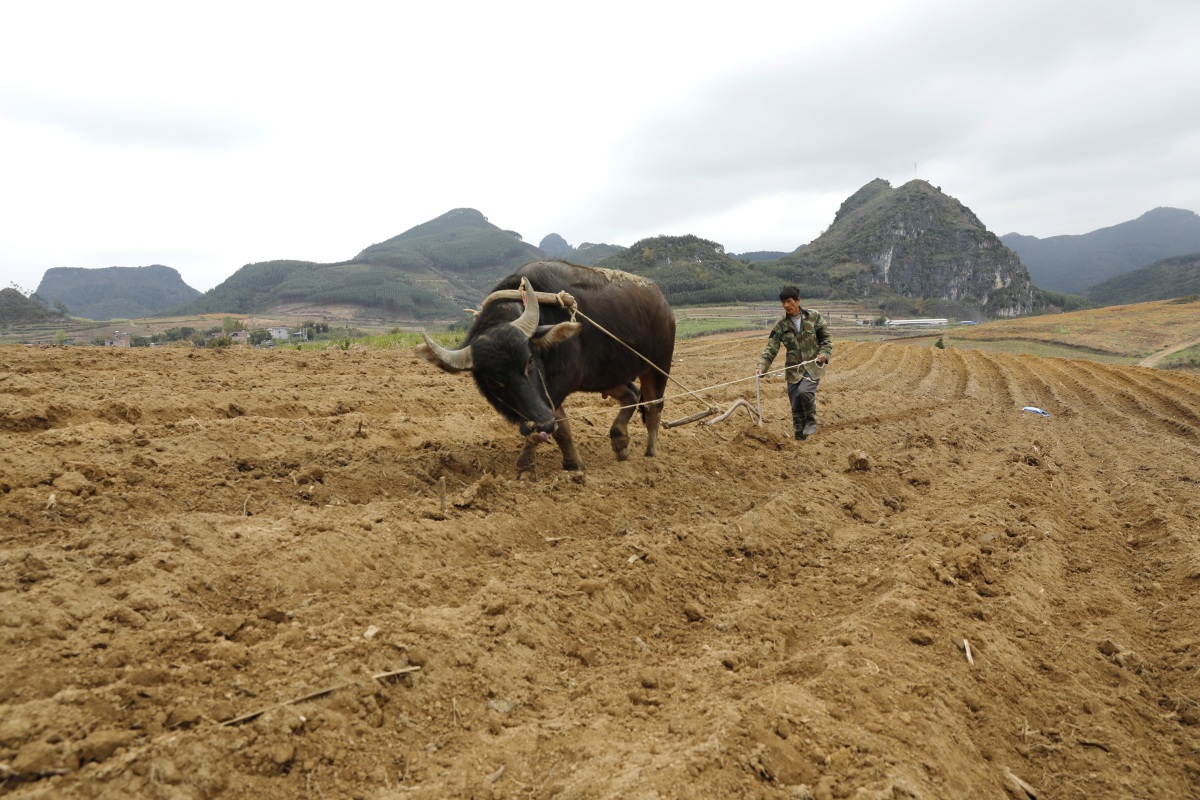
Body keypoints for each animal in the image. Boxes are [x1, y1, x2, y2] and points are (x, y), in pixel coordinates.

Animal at [415, 262, 676, 474]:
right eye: (493, 381)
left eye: (529, 361)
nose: (542, 422)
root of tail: (664, 304)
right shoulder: (545, 395)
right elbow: (561, 426)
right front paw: (573, 463)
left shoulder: (559, 383)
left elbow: (555, 425)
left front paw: (525, 466)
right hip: (605, 375)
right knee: (631, 394)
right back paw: (620, 440)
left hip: (658, 367)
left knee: (654, 406)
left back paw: (651, 454)